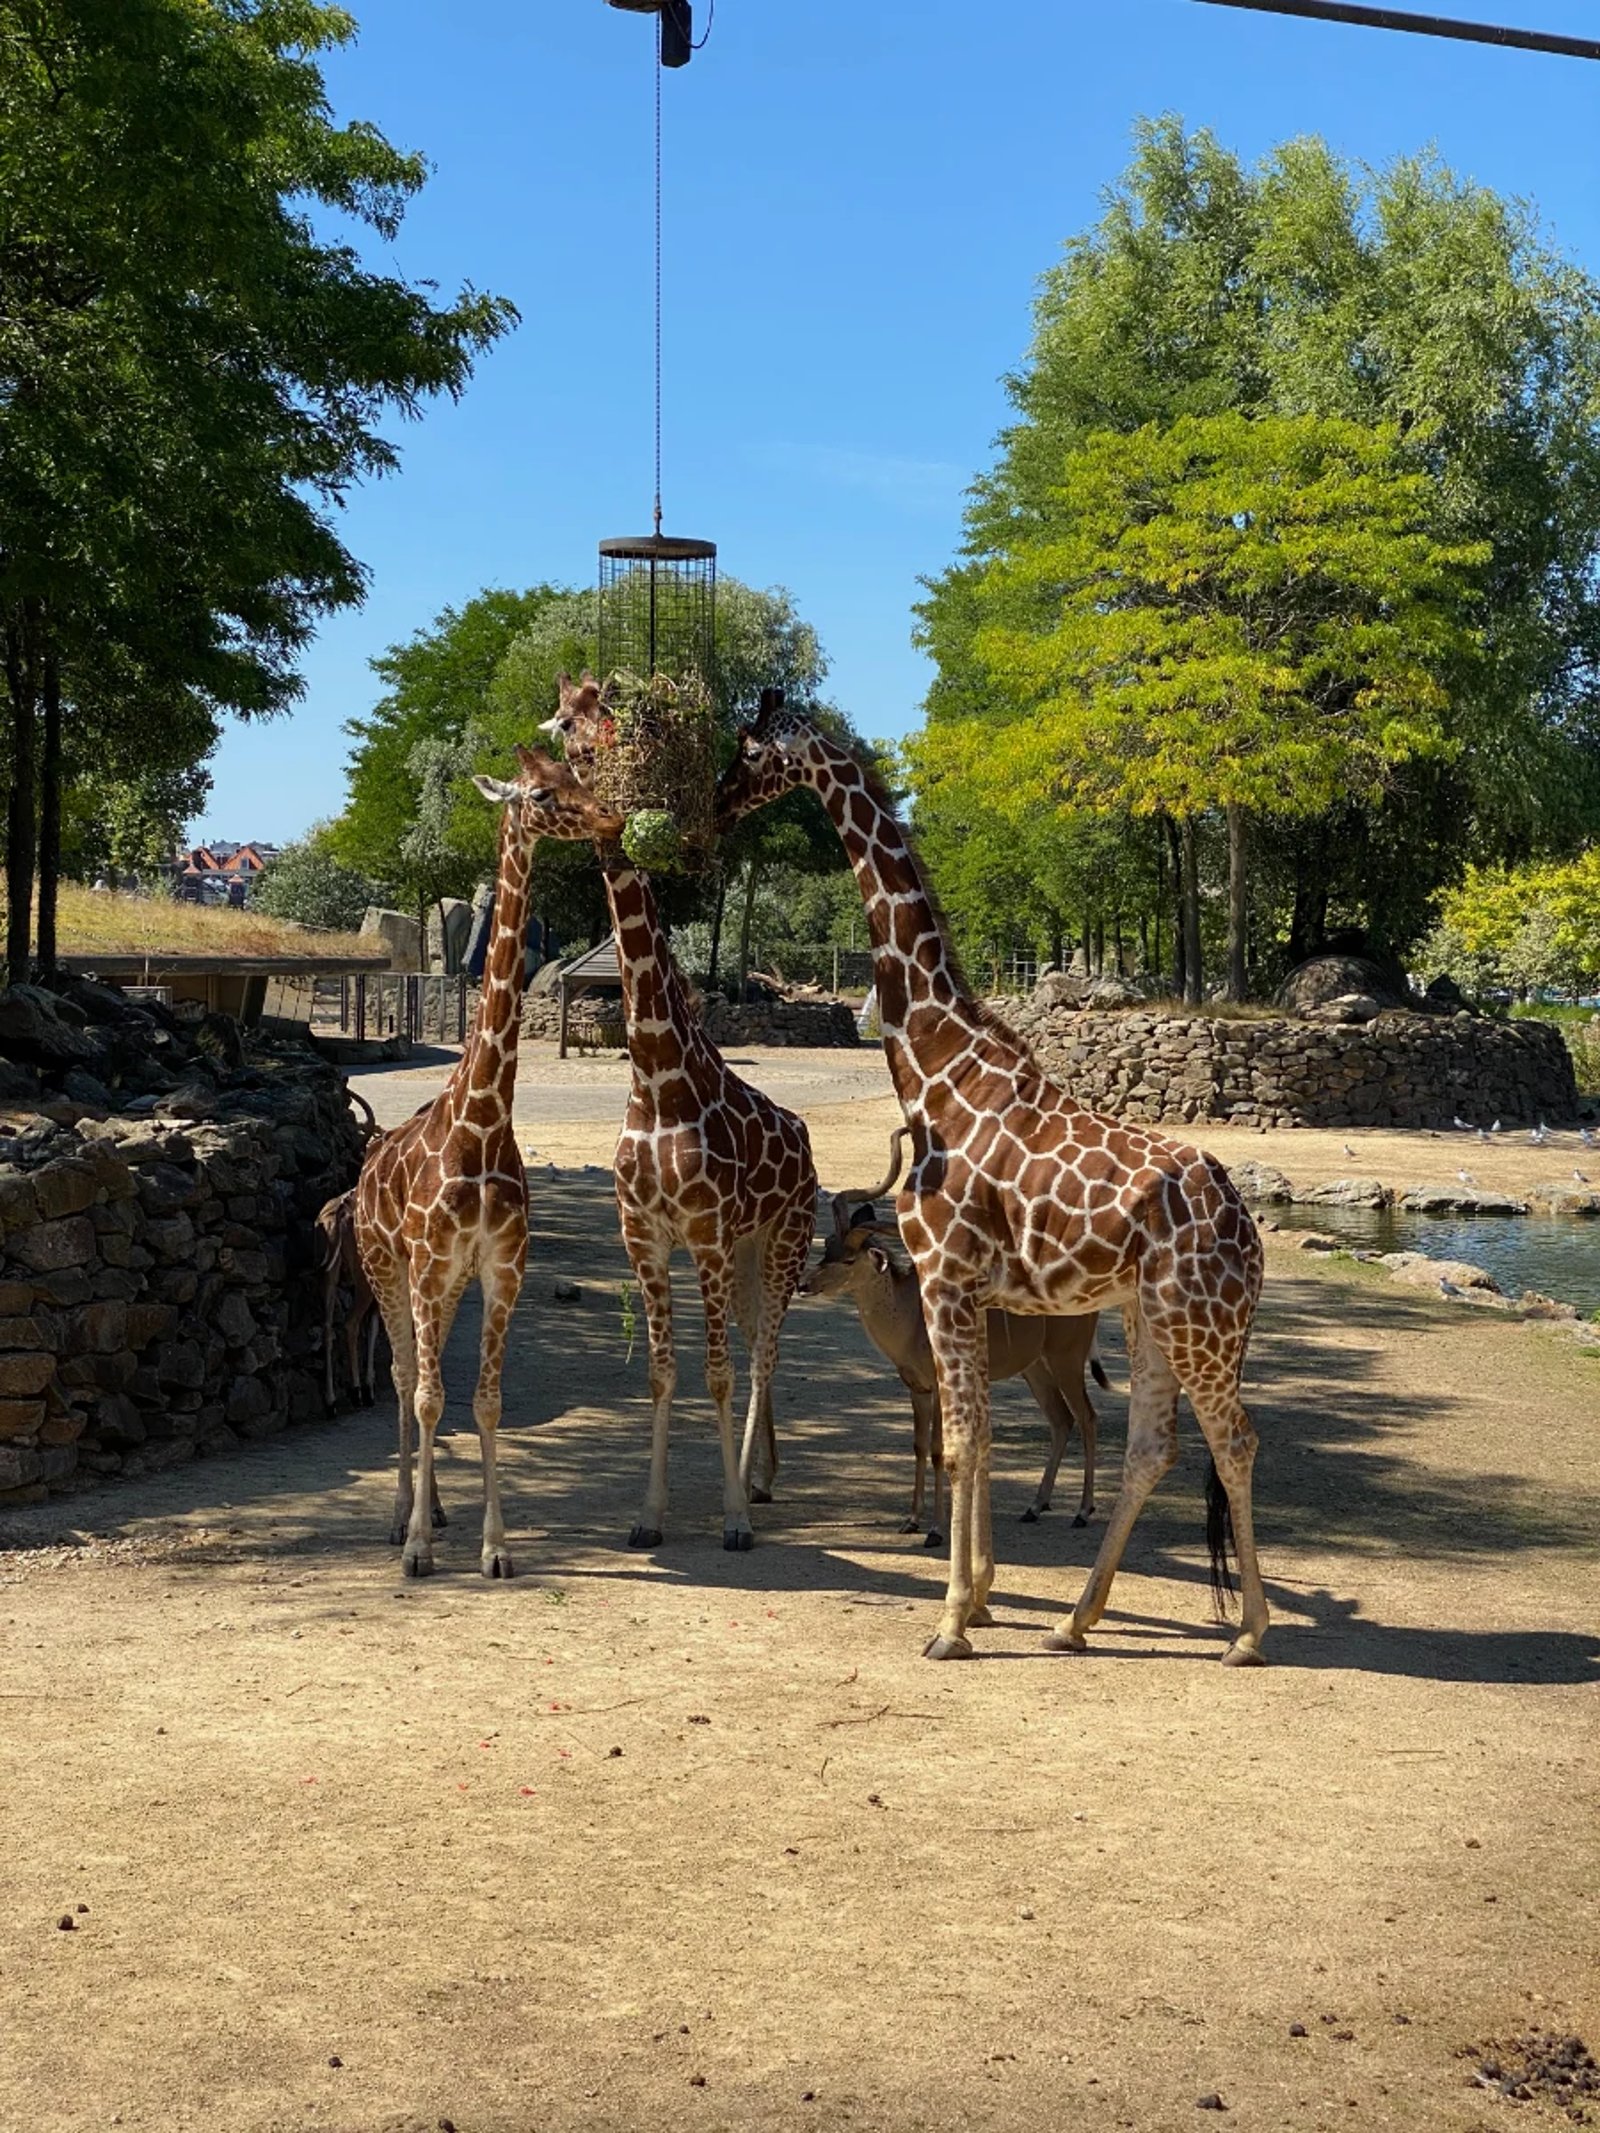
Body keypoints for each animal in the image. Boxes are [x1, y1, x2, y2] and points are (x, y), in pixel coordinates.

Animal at [517, 742, 819, 1552]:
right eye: (549, 779)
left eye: (574, 769)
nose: (605, 817)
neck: (655, 1078)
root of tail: (806, 1144)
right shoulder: (645, 1236)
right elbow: (661, 1372)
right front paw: (649, 1516)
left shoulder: (706, 1236)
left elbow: (716, 1372)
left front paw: (734, 1520)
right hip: (748, 1253)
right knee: (760, 1345)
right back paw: (762, 1476)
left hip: (783, 1241)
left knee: (764, 1353)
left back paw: (749, 1491)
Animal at [715, 705, 1270, 1664]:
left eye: (750, 752)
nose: (713, 806)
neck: (936, 1066)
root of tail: (1251, 1233)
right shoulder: (969, 1289)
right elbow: (968, 1440)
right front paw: (977, 1602)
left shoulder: (944, 1277)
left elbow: (961, 1441)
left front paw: (949, 1622)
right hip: (1150, 1316)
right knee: (1150, 1447)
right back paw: (1074, 1622)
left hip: (1200, 1322)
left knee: (1233, 1441)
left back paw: (1247, 1635)